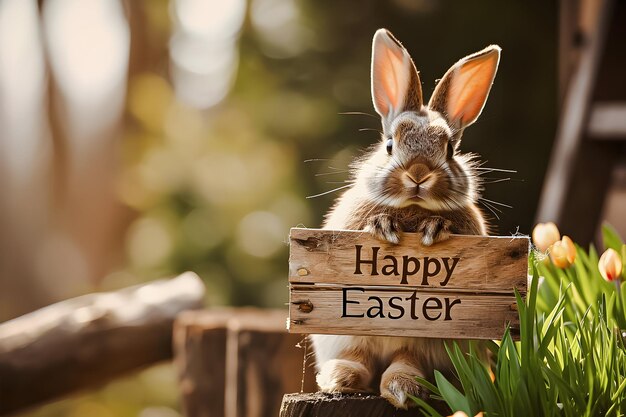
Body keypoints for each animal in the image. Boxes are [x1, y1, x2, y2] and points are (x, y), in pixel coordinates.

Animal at [310, 27, 500, 408]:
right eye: (389, 145)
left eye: (450, 149)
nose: (418, 173)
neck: (412, 208)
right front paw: (383, 227)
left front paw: (434, 229)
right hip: (347, 331)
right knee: (358, 356)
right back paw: (339, 379)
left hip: (424, 341)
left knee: (407, 360)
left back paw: (402, 388)